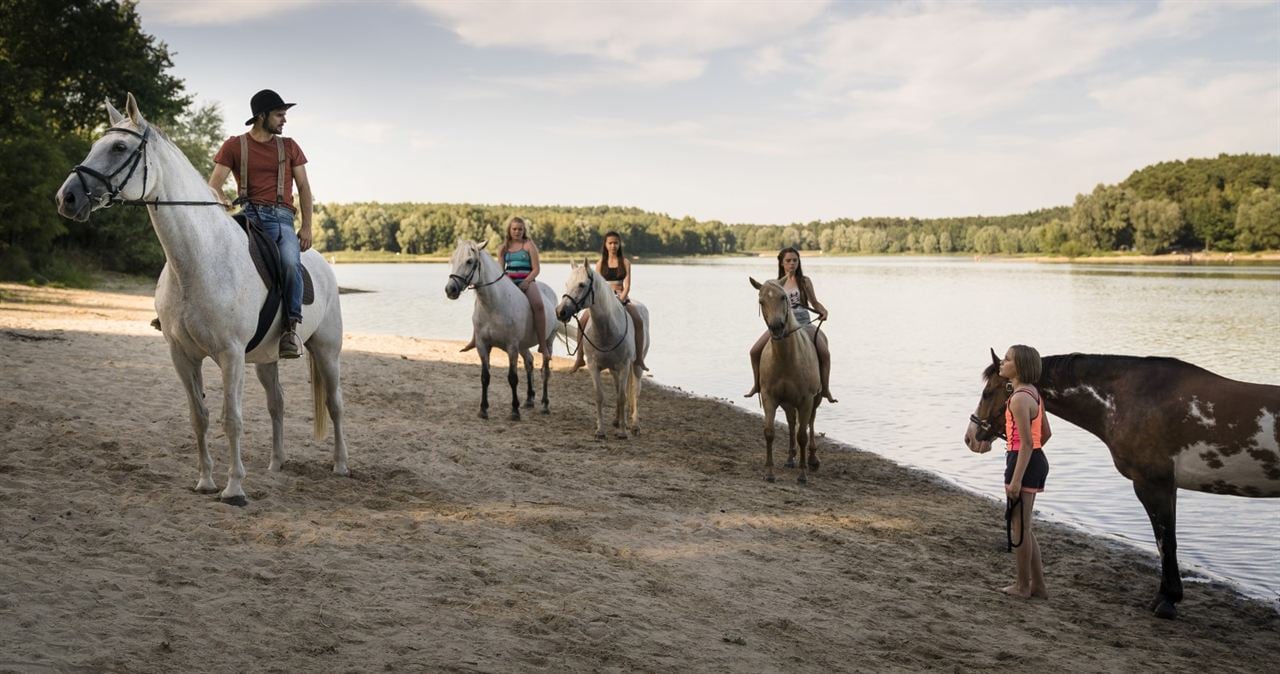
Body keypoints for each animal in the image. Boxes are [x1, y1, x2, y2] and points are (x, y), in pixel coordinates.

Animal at [54, 94, 348, 506]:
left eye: (119, 148)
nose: (67, 198)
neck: (198, 259)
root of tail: (321, 263)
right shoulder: (182, 355)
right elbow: (200, 416)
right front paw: (206, 481)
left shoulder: (230, 354)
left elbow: (232, 418)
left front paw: (234, 488)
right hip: (266, 358)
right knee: (277, 403)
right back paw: (276, 464)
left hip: (326, 350)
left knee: (335, 404)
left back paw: (341, 465)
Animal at [445, 237, 555, 416]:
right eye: (452, 260)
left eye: (469, 261)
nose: (450, 289)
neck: (493, 305)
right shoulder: (483, 346)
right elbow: (485, 377)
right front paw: (483, 409)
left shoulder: (512, 347)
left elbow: (512, 378)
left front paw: (515, 410)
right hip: (523, 345)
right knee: (529, 362)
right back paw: (529, 399)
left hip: (548, 342)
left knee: (545, 370)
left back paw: (545, 404)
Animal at [555, 260, 650, 439]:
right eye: (566, 284)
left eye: (581, 284)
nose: (560, 312)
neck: (607, 329)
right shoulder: (594, 366)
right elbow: (600, 396)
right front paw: (600, 431)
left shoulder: (624, 366)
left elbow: (623, 397)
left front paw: (622, 432)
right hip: (613, 370)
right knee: (620, 388)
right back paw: (618, 420)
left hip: (636, 366)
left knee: (636, 391)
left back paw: (634, 426)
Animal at [747, 277, 819, 483]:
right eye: (761, 301)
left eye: (783, 297)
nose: (777, 327)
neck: (787, 359)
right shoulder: (769, 397)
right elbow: (770, 432)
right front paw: (770, 472)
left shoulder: (806, 400)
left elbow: (802, 435)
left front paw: (802, 475)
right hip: (788, 402)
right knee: (791, 422)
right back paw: (790, 458)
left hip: (816, 399)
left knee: (810, 424)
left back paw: (812, 459)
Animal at [967, 350, 1280, 619]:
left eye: (987, 392)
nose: (970, 437)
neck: (1131, 396)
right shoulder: (1168, 486)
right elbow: (1168, 540)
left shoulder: (1152, 485)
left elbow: (1166, 542)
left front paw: (1166, 600)